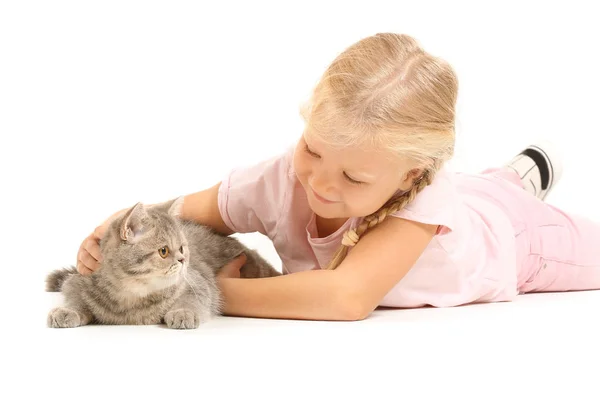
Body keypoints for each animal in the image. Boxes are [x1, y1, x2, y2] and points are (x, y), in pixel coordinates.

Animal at [46, 195, 282, 330]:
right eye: (163, 251)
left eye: (182, 248)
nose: (183, 259)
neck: (132, 297)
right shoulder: (77, 282)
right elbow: (76, 300)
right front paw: (67, 311)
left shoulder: (198, 284)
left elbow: (191, 300)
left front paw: (182, 312)